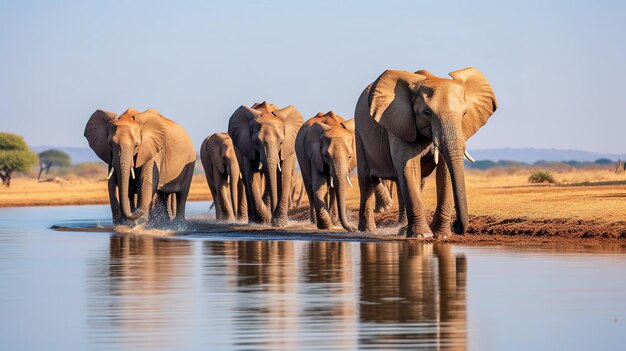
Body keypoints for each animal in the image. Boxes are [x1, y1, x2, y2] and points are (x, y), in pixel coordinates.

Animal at [354, 68, 494, 239]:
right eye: (426, 112)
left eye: (464, 114)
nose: (456, 225)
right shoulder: (400, 123)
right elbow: (409, 168)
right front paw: (423, 236)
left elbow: (444, 172)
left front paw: (441, 235)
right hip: (359, 134)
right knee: (366, 180)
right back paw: (367, 230)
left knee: (415, 181)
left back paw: (402, 230)